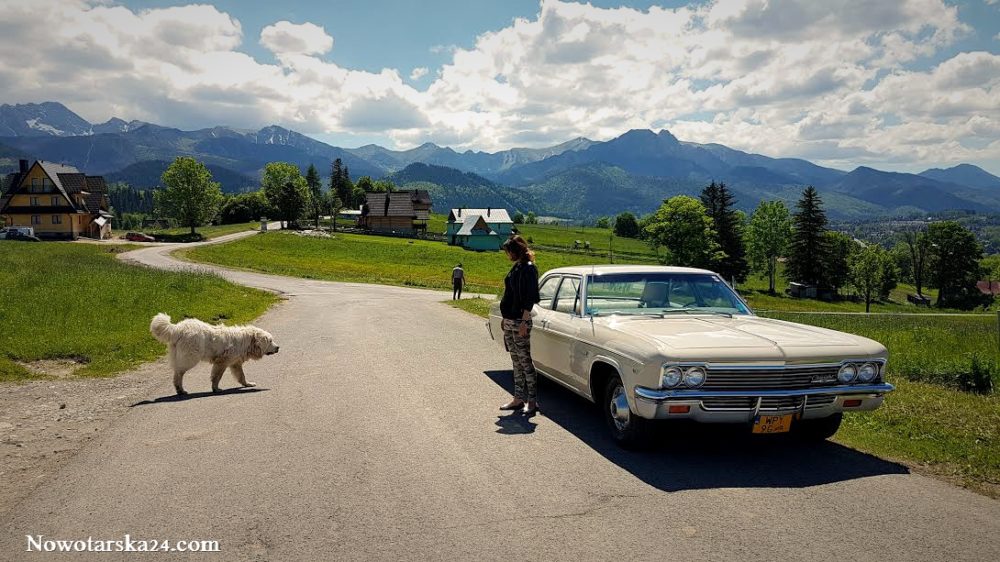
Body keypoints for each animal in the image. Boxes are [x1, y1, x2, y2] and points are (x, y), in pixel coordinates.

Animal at [146, 310, 278, 394]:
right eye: (270, 341)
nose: (278, 347)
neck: (247, 341)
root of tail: (177, 328)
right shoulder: (222, 362)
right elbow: (217, 376)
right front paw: (216, 389)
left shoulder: (235, 363)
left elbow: (241, 375)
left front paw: (247, 384)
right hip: (190, 357)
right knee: (179, 373)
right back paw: (180, 389)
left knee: (177, 372)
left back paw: (180, 390)